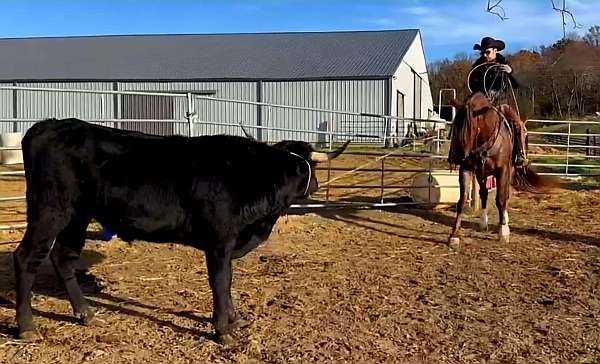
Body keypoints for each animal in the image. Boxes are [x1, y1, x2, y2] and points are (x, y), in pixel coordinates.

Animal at [448, 92, 556, 247]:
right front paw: (454, 235)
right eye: (455, 125)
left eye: (471, 127)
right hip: (481, 174)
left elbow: (500, 199)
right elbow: (462, 201)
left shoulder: (503, 171)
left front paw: (503, 232)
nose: (457, 156)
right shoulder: (467, 169)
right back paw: (483, 222)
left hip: (509, 172)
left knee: (505, 195)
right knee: (484, 193)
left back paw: (505, 220)